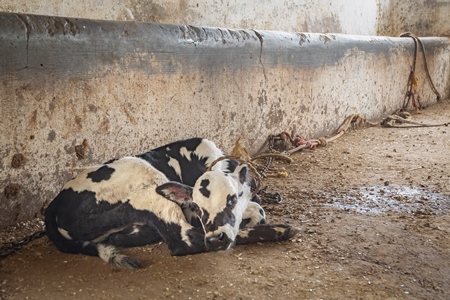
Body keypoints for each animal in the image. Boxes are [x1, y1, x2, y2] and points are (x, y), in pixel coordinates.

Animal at [44, 137, 298, 268]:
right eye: (197, 207)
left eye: (232, 199)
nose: (215, 238)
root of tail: (55, 203)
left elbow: (257, 209)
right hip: (148, 180)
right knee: (185, 240)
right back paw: (281, 230)